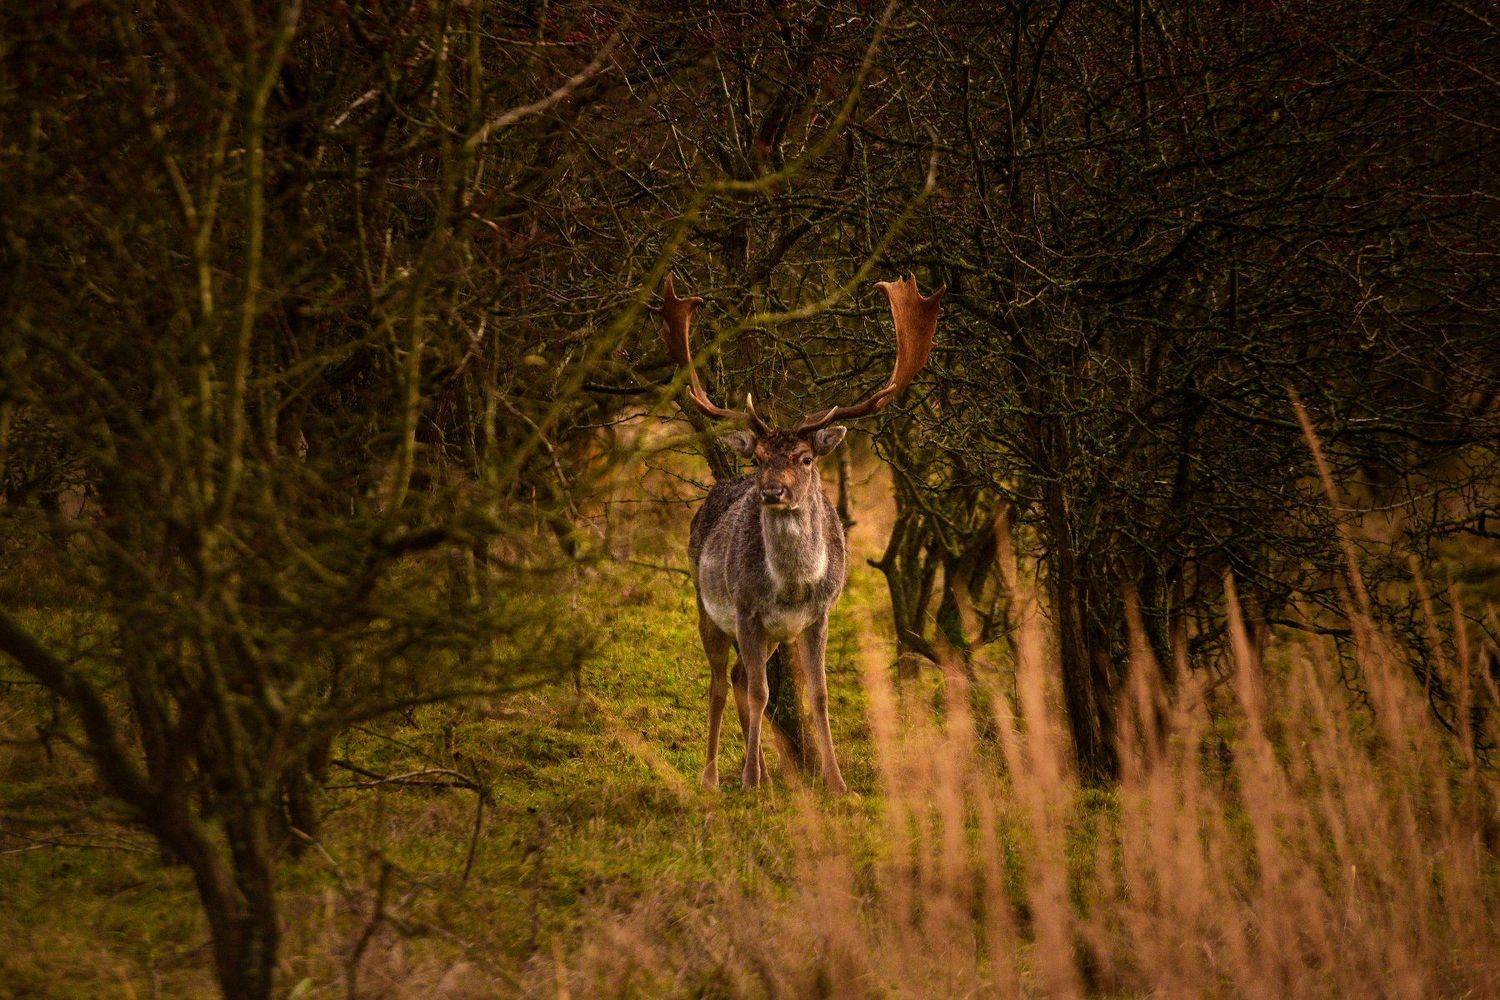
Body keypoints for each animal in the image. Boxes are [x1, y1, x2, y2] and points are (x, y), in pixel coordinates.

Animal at [657, 273, 943, 791]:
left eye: (806, 458)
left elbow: (819, 694)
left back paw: (766, 772)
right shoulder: (746, 610)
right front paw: (749, 780)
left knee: (738, 677)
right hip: (707, 605)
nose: (771, 491)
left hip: (771, 634)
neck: (792, 587)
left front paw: (836, 781)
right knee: (720, 684)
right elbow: (763, 693)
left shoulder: (819, 615)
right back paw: (714, 777)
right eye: (758, 458)